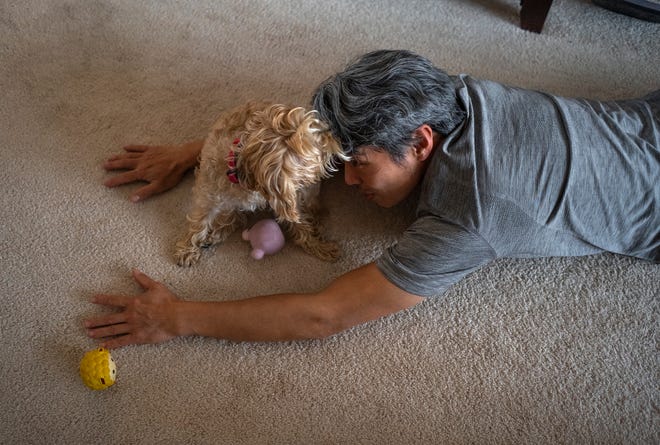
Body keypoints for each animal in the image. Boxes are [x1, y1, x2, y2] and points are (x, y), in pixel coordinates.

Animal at [173, 102, 348, 266]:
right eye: (316, 143)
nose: (331, 131)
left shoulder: (288, 196)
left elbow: (300, 221)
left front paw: (318, 245)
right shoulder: (208, 193)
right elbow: (200, 220)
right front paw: (188, 247)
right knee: (233, 216)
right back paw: (215, 233)